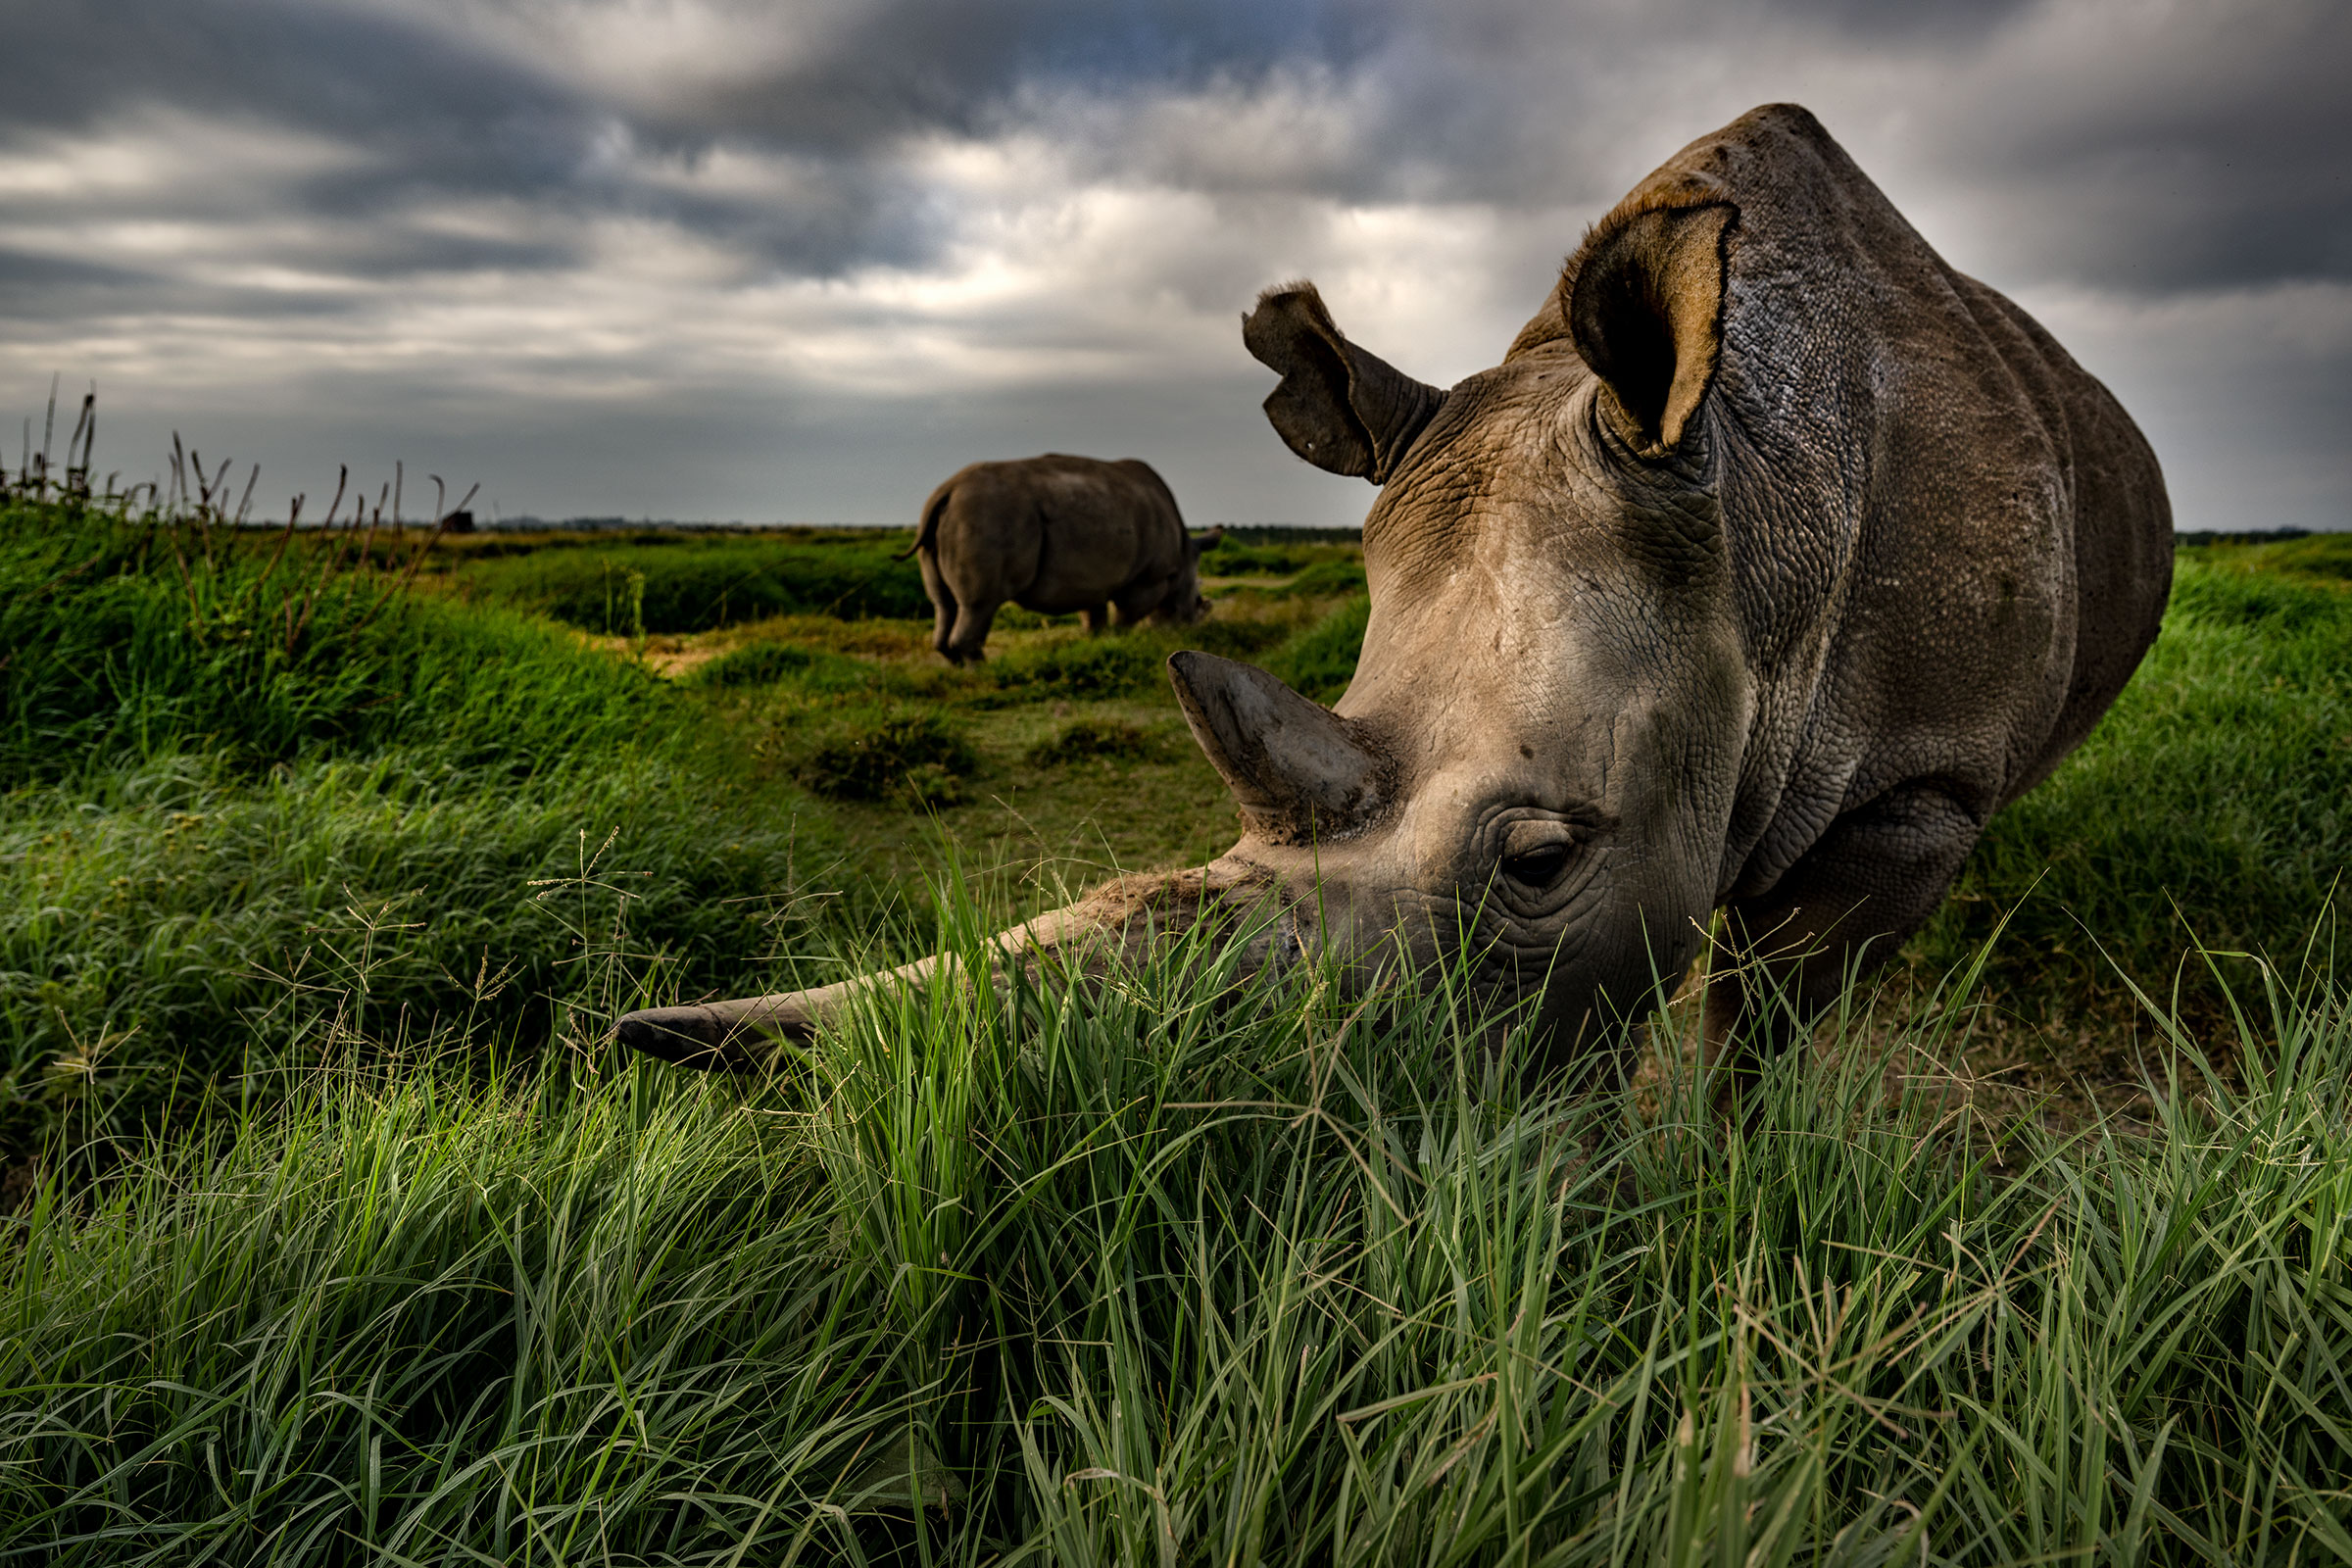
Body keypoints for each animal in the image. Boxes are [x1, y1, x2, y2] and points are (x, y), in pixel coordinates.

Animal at [906, 453, 1223, 664]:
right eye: (1197, 601)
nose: (1189, 630)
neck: (1184, 554)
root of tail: (948, 490)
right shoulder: (1147, 578)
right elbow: (1126, 617)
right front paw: (1123, 641)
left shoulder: (1093, 581)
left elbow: (1094, 619)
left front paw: (1098, 645)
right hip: (986, 515)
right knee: (980, 604)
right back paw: (983, 673)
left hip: (952, 520)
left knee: (944, 604)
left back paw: (959, 669)